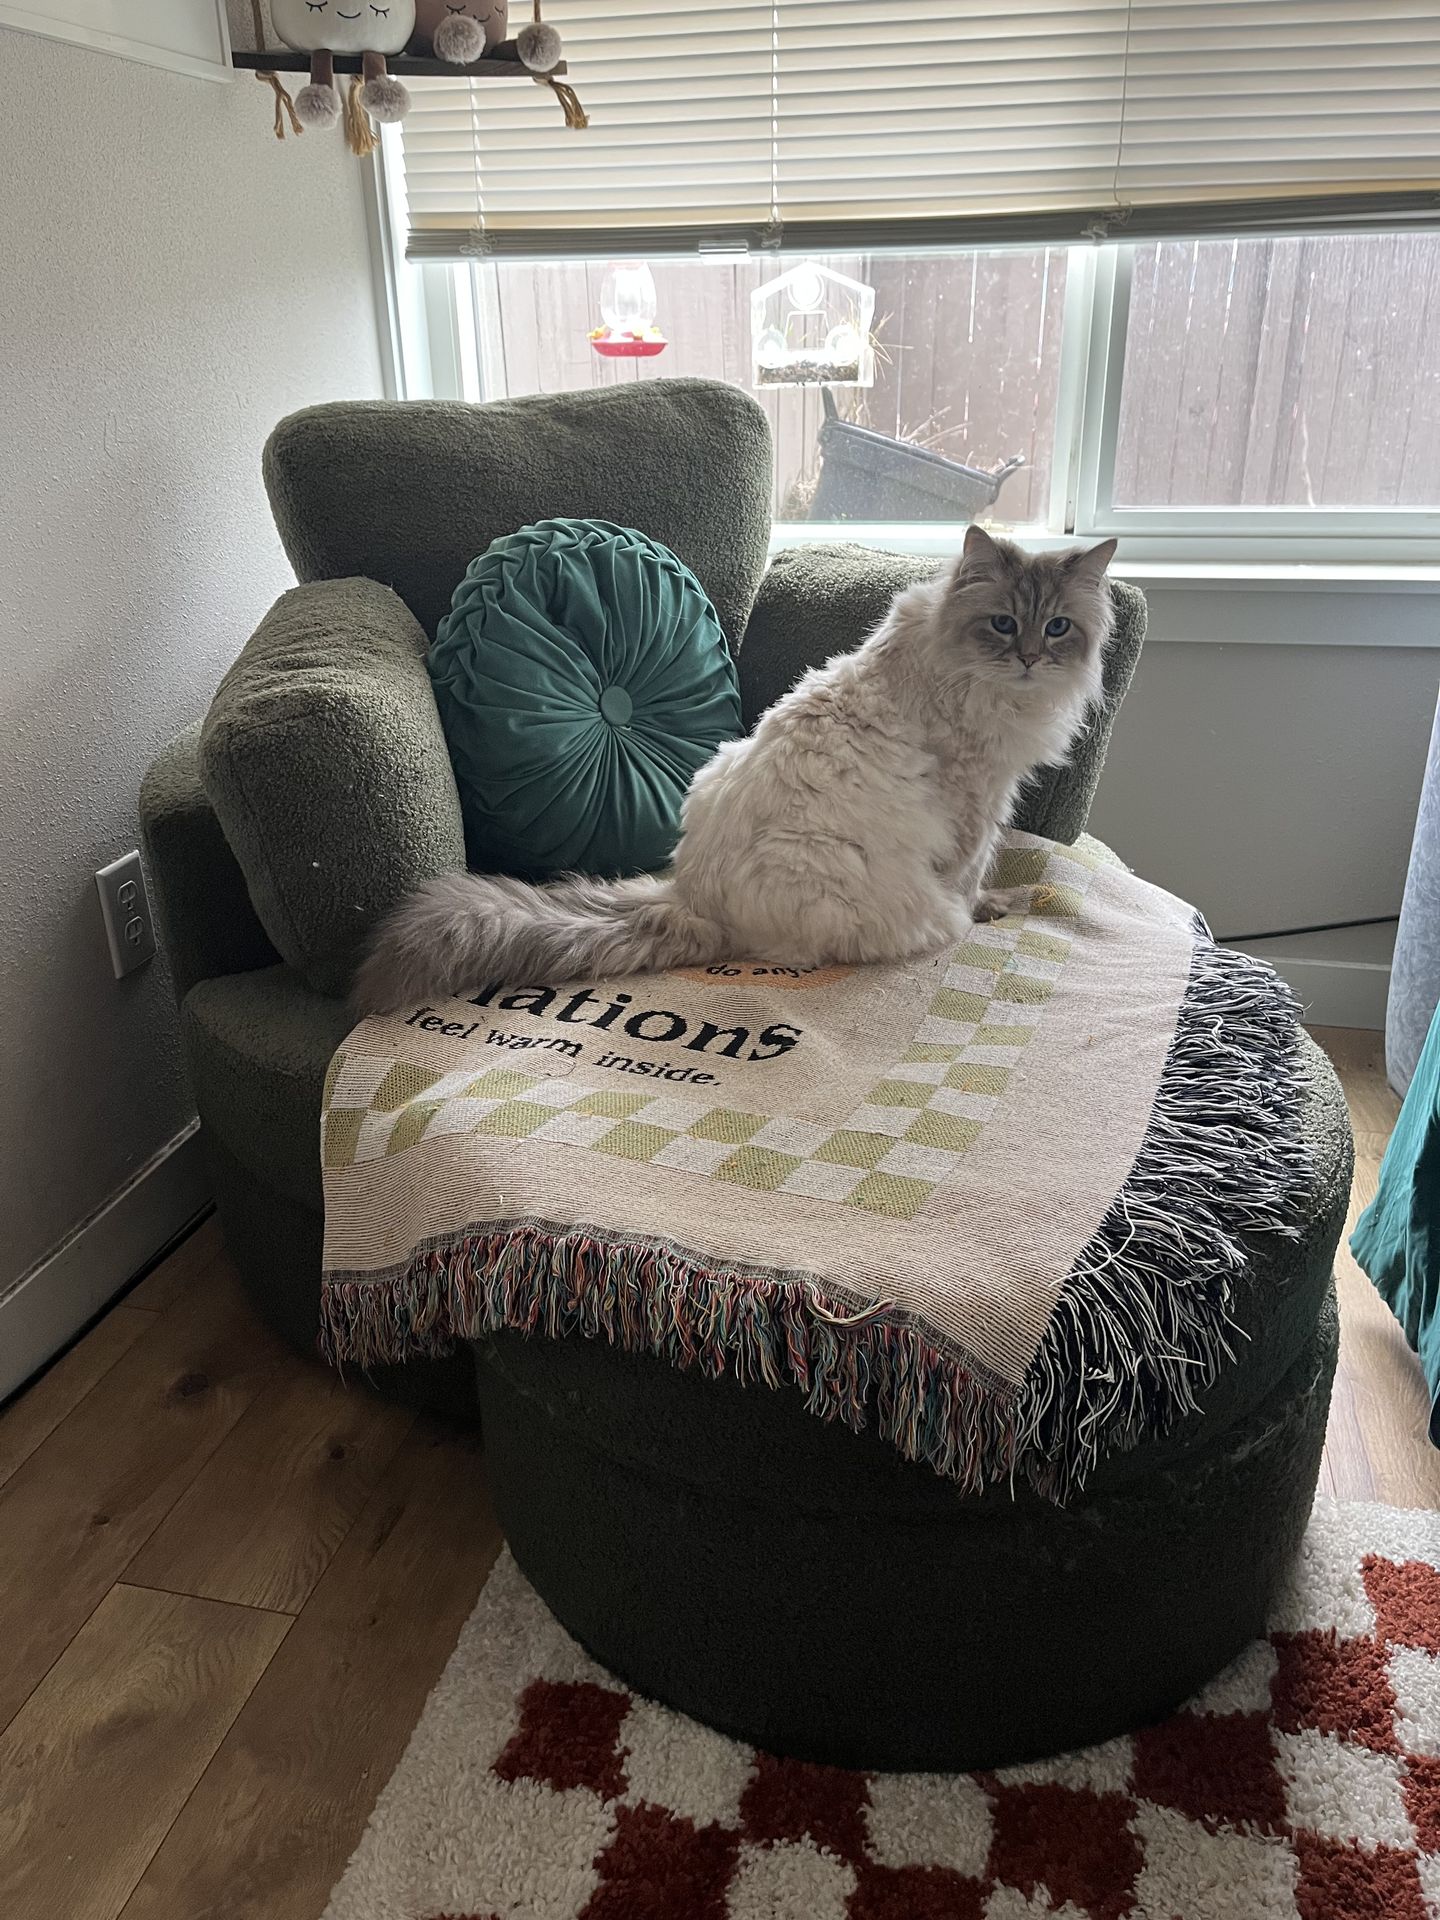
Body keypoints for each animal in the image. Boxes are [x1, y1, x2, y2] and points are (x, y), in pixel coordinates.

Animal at [352, 525, 1117, 1013]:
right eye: (1002, 625)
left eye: (1057, 628)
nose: (1029, 659)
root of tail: (691, 899)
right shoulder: (977, 806)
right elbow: (973, 877)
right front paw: (993, 908)